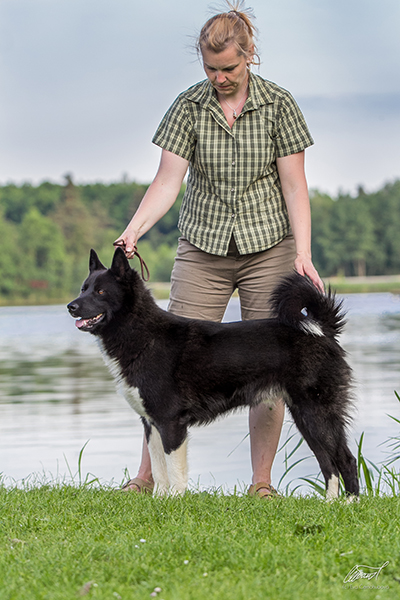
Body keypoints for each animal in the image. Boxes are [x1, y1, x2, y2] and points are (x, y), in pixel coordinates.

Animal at [67, 248, 358, 496]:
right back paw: (330, 504)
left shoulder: (171, 422)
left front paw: (173, 503)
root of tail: (321, 330)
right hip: (304, 416)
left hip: (317, 413)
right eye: (83, 288)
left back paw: (350, 504)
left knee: (346, 459)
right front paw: (159, 501)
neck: (144, 335)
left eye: (100, 291)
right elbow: (160, 471)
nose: (71, 306)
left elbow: (174, 471)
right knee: (328, 463)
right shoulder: (151, 424)